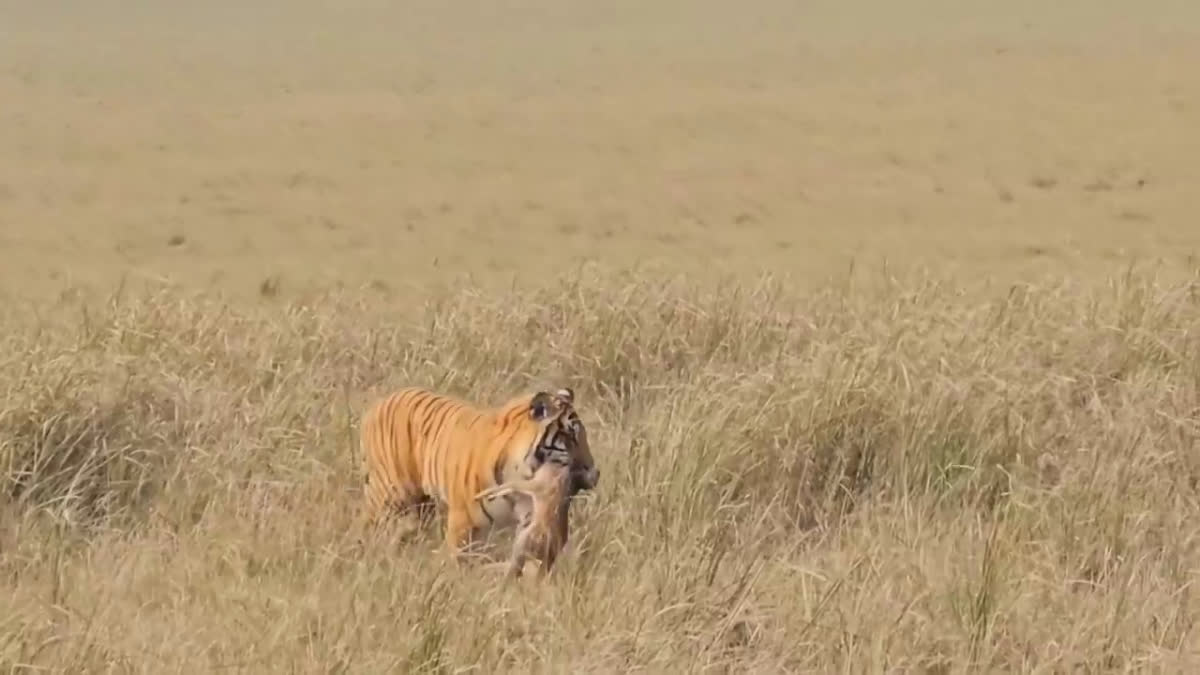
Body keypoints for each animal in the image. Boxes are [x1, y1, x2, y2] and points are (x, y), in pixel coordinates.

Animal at [355, 384, 600, 557]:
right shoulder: (463, 522)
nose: (595, 473)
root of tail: (379, 404)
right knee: (367, 522)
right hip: (389, 492)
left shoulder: (530, 514)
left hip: (422, 504)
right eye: (570, 437)